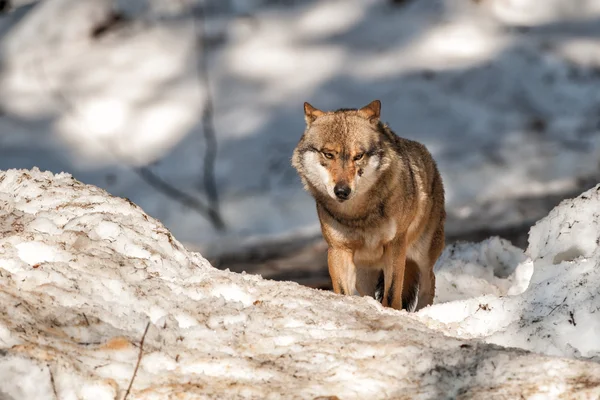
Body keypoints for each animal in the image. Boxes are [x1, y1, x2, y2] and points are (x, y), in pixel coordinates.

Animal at [292, 100, 446, 312]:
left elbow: (392, 294)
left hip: (421, 255)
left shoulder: (395, 244)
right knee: (370, 295)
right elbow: (343, 291)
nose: (342, 191)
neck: (359, 215)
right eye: (328, 154)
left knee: (429, 282)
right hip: (364, 274)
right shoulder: (338, 250)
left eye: (358, 156)